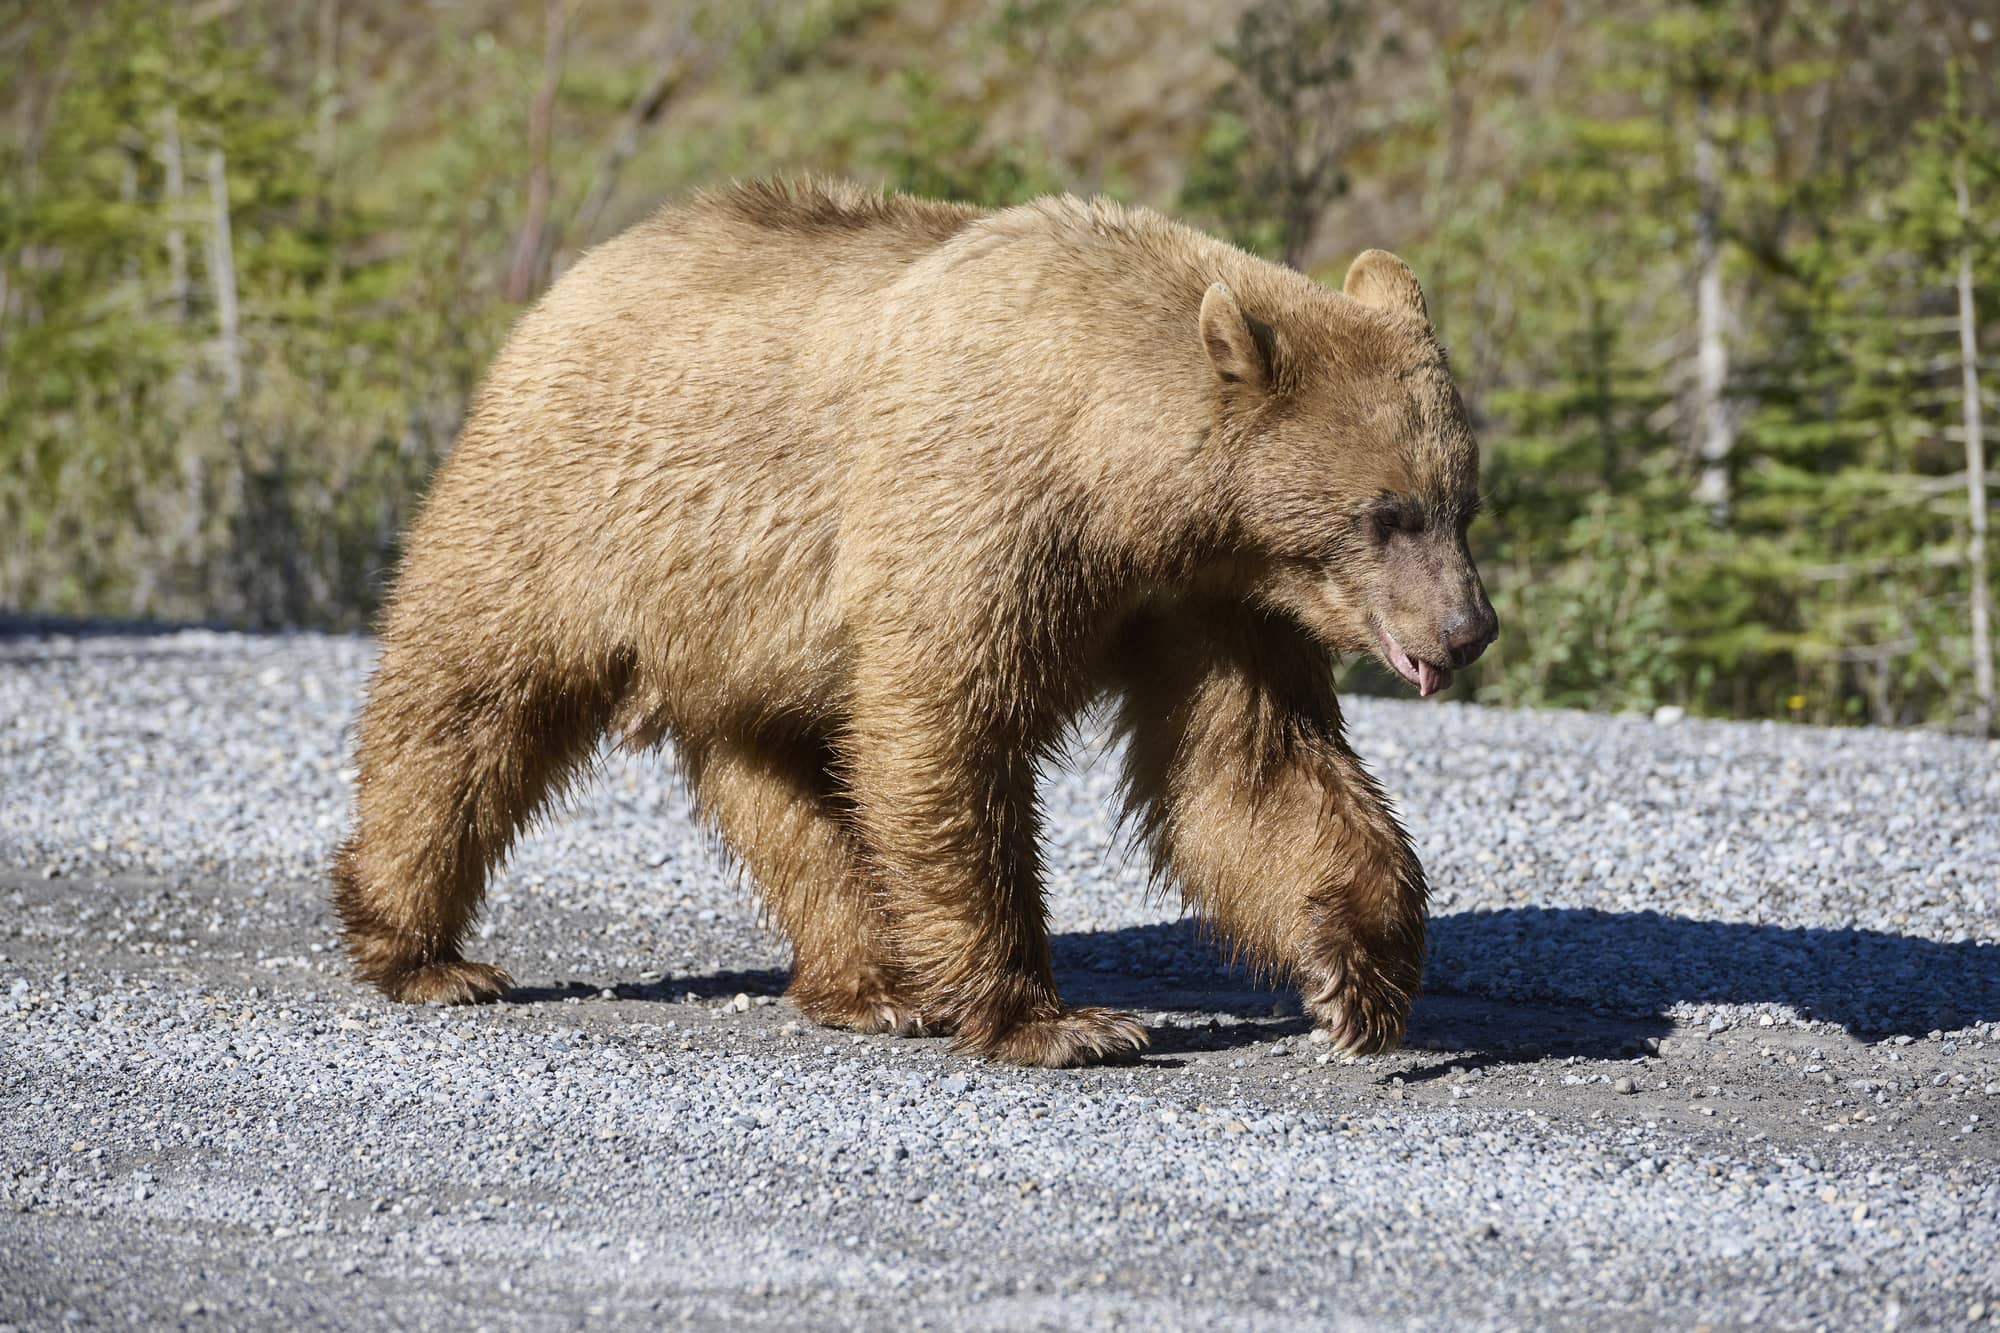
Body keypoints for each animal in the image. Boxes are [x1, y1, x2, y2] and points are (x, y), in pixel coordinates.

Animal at [332, 179, 1488, 1072]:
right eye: (1386, 513)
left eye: (1459, 501)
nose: (1465, 629)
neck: (1123, 481)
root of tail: (573, 277)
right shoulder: (982, 509)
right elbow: (948, 730)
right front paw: (1056, 1021)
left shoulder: (1209, 597)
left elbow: (1251, 768)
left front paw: (1359, 981)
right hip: (568, 511)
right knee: (468, 703)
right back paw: (421, 950)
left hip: (745, 624)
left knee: (787, 784)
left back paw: (871, 983)